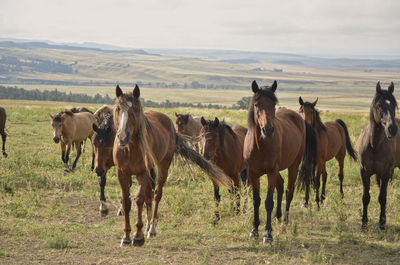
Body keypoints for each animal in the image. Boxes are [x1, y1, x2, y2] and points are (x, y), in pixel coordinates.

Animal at [112, 84, 231, 245]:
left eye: (135, 109)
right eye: (118, 108)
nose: (123, 137)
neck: (129, 148)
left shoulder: (142, 172)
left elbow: (139, 199)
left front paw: (138, 236)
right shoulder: (122, 173)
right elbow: (126, 202)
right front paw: (126, 236)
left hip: (163, 166)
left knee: (156, 194)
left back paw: (152, 228)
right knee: (150, 193)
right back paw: (148, 223)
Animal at [242, 80, 318, 243]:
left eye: (274, 105)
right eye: (257, 104)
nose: (268, 130)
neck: (260, 145)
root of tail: (300, 119)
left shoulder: (271, 172)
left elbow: (268, 202)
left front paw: (267, 234)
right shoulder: (253, 173)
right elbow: (256, 200)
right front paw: (254, 230)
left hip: (293, 165)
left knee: (289, 191)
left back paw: (284, 221)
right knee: (281, 185)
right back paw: (278, 216)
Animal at [358, 81, 398, 230]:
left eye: (394, 104)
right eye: (379, 105)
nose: (392, 129)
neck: (374, 145)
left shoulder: (386, 173)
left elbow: (382, 197)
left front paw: (381, 223)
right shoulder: (364, 172)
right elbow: (365, 197)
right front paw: (364, 223)